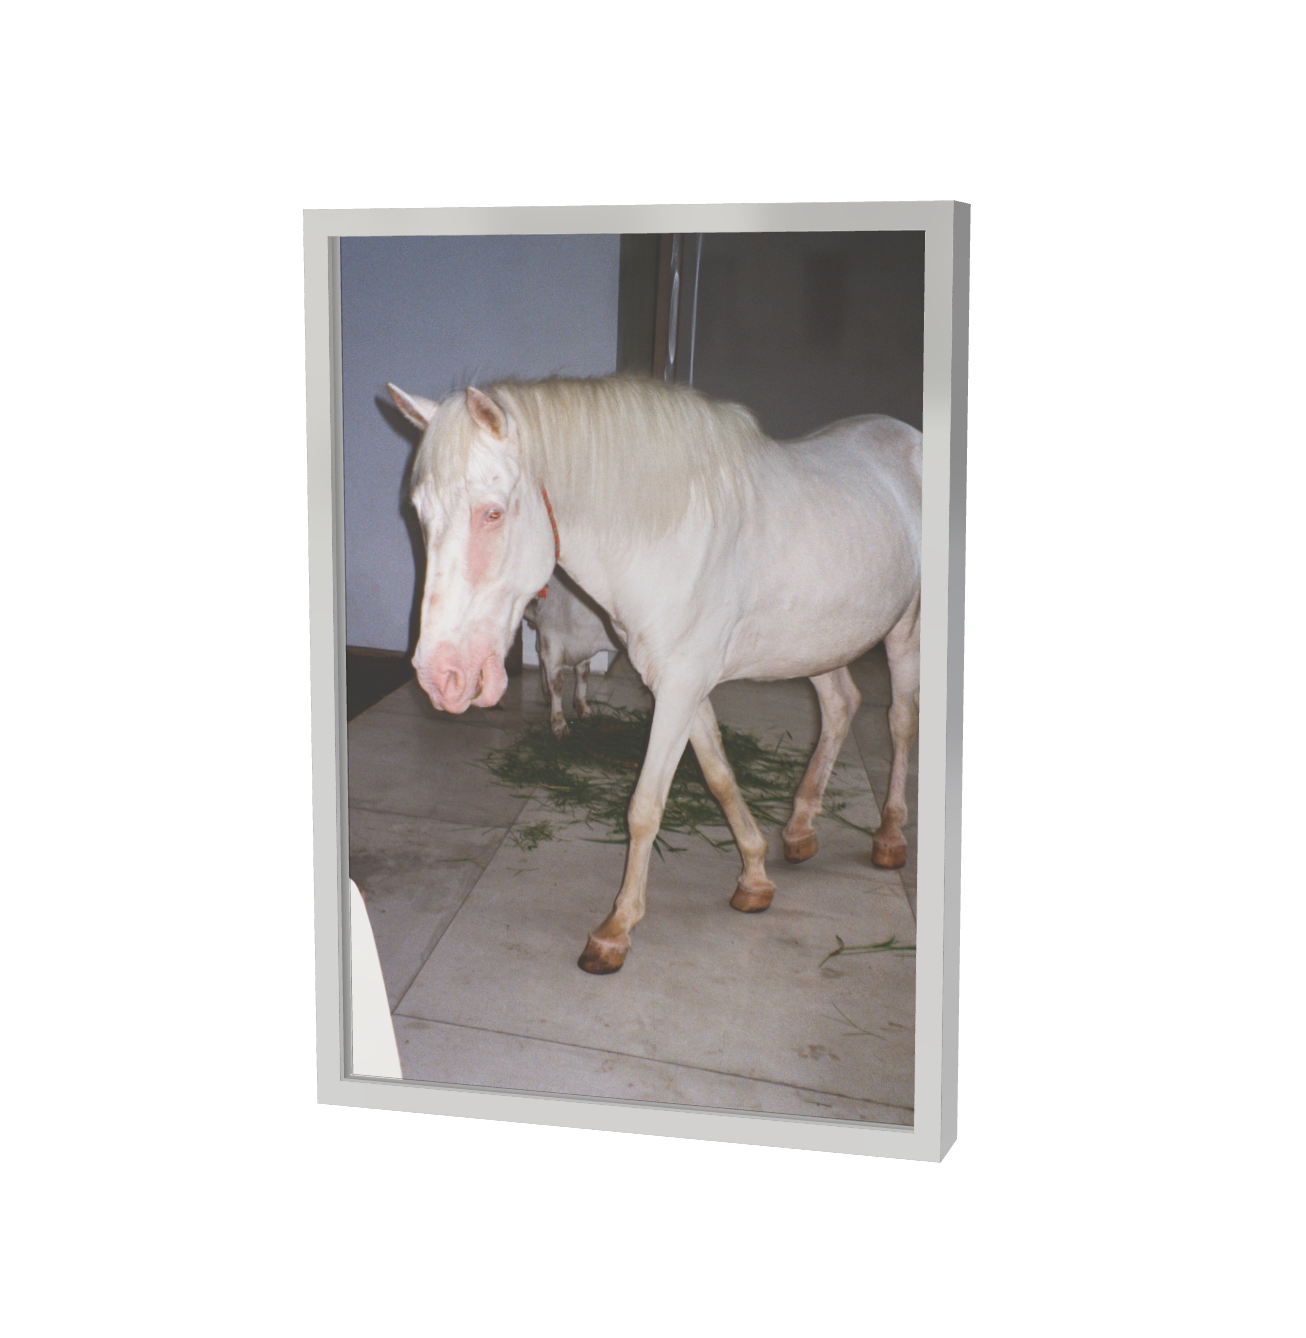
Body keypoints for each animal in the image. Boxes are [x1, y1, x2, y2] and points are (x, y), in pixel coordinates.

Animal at [524, 569, 622, 739]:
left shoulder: (583, 646)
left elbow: (583, 674)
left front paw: (583, 709)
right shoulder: (552, 639)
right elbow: (557, 683)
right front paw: (559, 725)